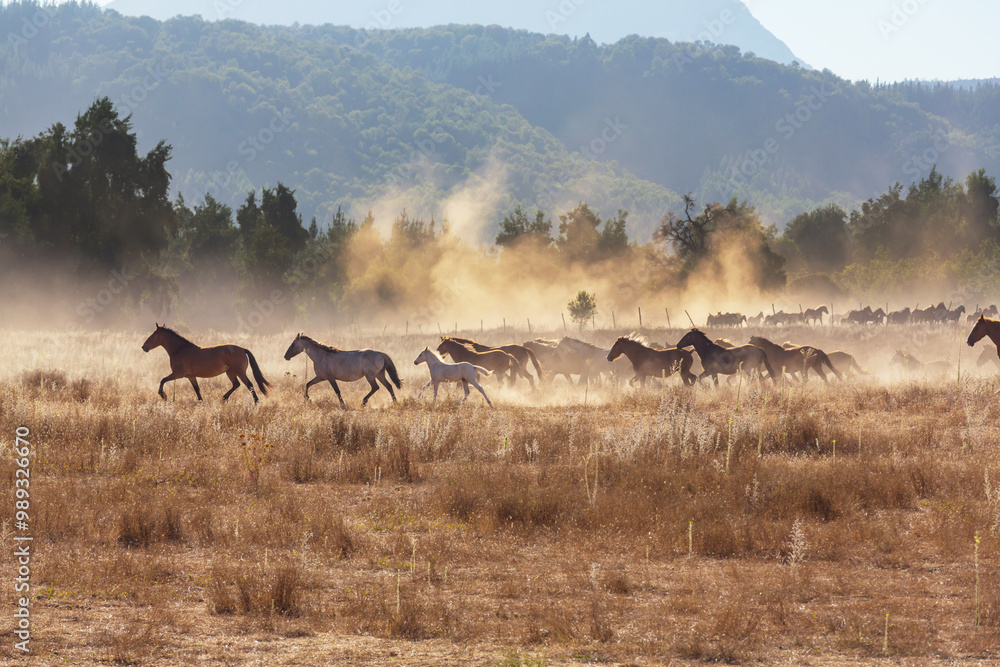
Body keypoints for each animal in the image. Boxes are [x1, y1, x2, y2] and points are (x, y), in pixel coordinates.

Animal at [141, 324, 271, 402]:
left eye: (154, 335)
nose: (144, 347)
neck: (179, 350)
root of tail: (242, 349)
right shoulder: (191, 376)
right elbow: (197, 391)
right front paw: (201, 403)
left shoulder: (178, 374)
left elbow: (162, 380)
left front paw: (163, 395)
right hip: (230, 372)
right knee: (236, 384)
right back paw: (223, 399)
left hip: (240, 372)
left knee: (250, 385)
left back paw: (256, 403)